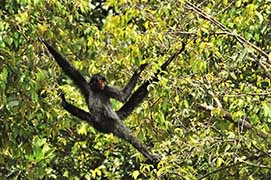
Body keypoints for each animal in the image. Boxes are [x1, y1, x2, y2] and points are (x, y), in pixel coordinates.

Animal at [40, 38, 186, 163]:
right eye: (100, 80)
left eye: (104, 81)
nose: (103, 83)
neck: (97, 91)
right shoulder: (87, 87)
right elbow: (69, 69)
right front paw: (45, 42)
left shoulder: (107, 90)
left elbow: (123, 96)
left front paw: (140, 69)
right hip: (95, 121)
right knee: (84, 115)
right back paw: (65, 104)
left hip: (113, 123)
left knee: (128, 135)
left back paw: (149, 155)